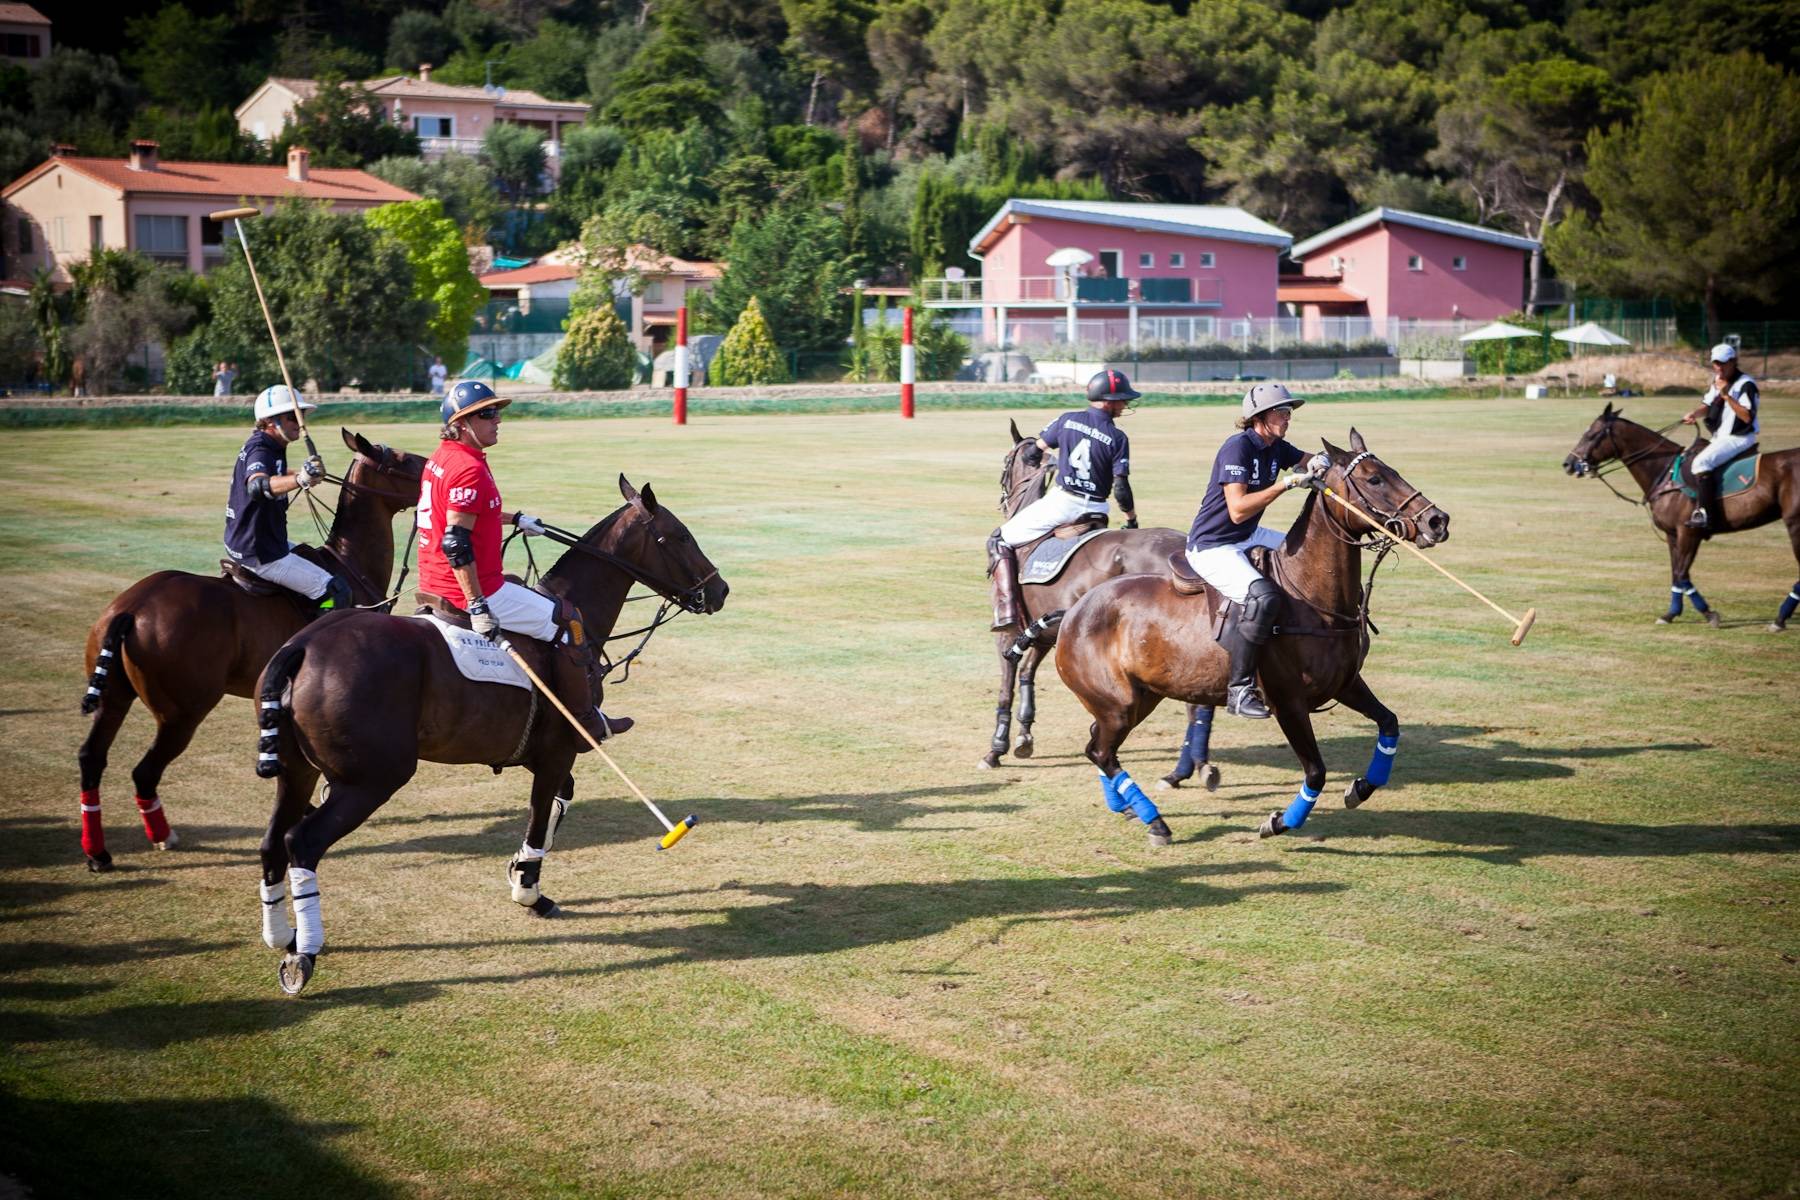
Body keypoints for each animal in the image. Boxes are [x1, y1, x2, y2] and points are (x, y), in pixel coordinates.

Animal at [76, 431, 424, 874]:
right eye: (402, 460)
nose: (438, 466)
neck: (349, 562)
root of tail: (131, 610)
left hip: (115, 694)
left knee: (92, 757)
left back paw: (98, 853)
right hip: (182, 711)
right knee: (145, 770)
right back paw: (161, 835)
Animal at [255, 478, 730, 993]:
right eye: (678, 536)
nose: (720, 589)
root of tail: (302, 646)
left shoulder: (546, 751)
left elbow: (560, 801)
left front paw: (519, 868)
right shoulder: (559, 750)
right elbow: (541, 814)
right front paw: (530, 892)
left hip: (298, 769)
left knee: (272, 841)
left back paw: (280, 935)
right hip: (372, 779)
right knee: (302, 842)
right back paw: (303, 954)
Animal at [979, 420, 1216, 780]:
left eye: (1006, 461)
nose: (1002, 498)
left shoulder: (1010, 633)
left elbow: (1008, 681)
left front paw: (996, 748)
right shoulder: (1044, 632)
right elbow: (1027, 674)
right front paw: (1024, 736)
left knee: (1194, 702)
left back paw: (1189, 768)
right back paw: (1196, 767)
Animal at [1051, 431, 1447, 845]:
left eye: (1393, 470)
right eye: (1373, 479)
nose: (1437, 520)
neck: (1311, 597)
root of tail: (1071, 614)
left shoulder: (1345, 684)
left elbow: (1389, 723)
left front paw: (1361, 787)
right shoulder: (1288, 701)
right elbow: (1316, 771)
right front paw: (1278, 821)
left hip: (1142, 696)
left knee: (1096, 745)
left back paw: (1127, 807)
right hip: (1119, 703)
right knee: (1101, 751)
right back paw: (1154, 820)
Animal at [1562, 401, 1800, 629]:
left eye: (1592, 434)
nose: (1568, 464)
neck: (1664, 474)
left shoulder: (1688, 532)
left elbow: (1682, 573)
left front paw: (1709, 614)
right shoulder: (1672, 534)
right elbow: (1676, 574)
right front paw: (1671, 614)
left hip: (1794, 522)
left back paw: (1780, 619)